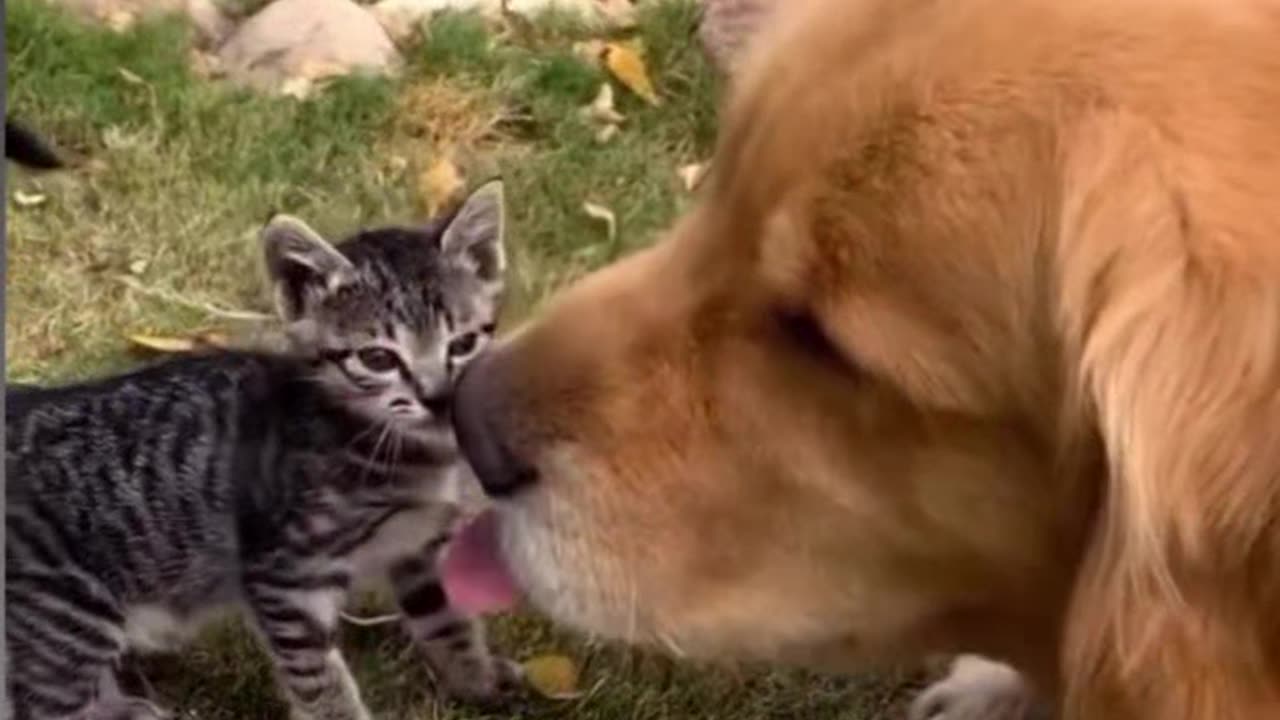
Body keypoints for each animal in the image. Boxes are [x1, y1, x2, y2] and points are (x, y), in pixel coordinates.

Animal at [6, 180, 514, 717]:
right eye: (378, 358)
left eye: (461, 344)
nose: (438, 398)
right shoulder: (287, 576)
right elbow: (321, 682)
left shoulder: (420, 547)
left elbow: (448, 620)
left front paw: (479, 679)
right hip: (67, 615)